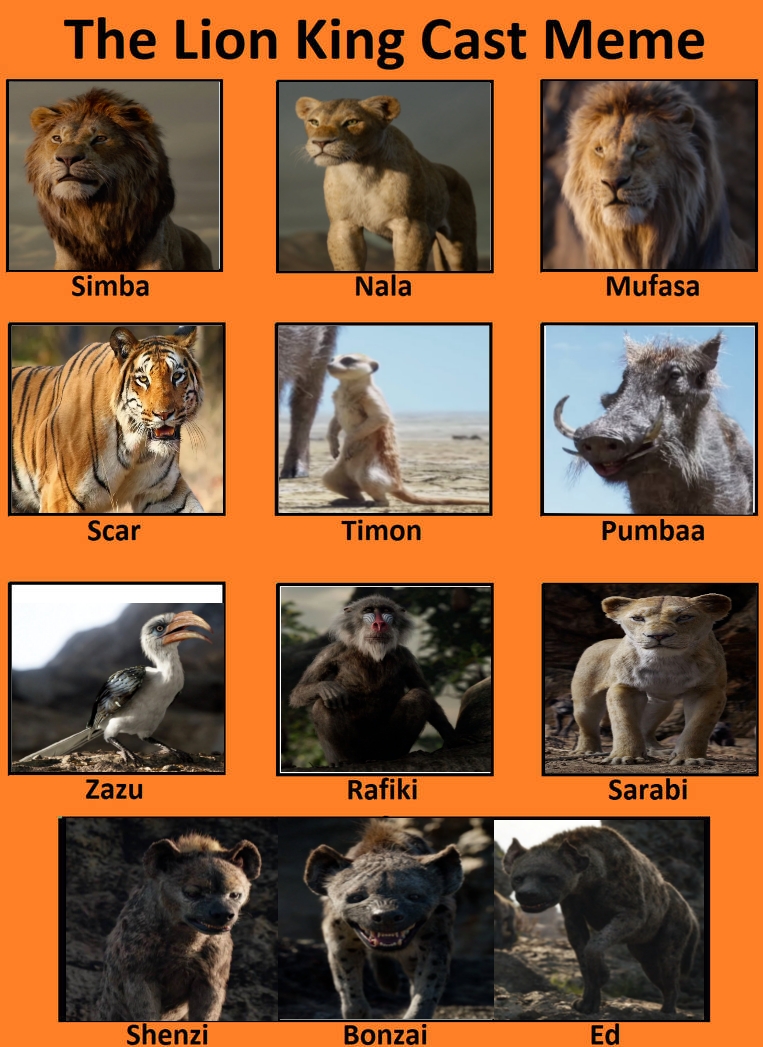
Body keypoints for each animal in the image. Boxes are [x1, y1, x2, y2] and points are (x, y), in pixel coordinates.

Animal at [295, 95, 477, 272]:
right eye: (314, 122)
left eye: (352, 122)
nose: (320, 142)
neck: (361, 171)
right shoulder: (343, 225)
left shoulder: (410, 226)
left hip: (461, 245)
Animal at [569, 594, 732, 766]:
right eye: (638, 618)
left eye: (684, 617)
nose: (658, 635)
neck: (665, 663)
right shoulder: (626, 687)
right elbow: (624, 724)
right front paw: (624, 756)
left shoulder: (707, 691)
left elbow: (698, 727)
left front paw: (690, 759)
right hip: (585, 702)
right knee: (587, 727)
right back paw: (586, 751)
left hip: (660, 706)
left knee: (646, 729)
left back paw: (657, 751)